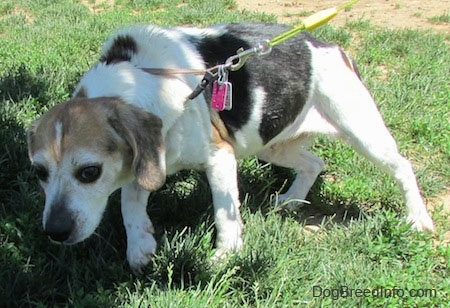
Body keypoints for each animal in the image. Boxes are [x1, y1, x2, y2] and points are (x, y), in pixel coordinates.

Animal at [26, 24, 434, 274]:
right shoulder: (149, 157)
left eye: (89, 172)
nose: (55, 231)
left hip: (362, 131)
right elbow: (130, 201)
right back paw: (292, 199)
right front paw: (140, 244)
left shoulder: (219, 155)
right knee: (313, 161)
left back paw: (418, 218)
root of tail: (332, 47)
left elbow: (226, 212)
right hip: (271, 142)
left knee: (403, 166)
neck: (141, 76)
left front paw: (226, 255)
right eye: (40, 172)